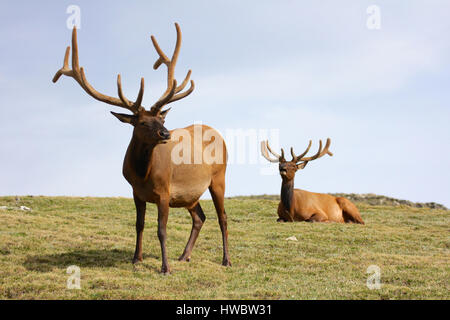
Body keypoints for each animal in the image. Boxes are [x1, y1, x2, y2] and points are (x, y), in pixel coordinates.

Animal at [53, 23, 232, 274]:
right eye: (142, 123)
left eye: (162, 119)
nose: (166, 134)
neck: (143, 174)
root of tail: (219, 135)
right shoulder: (136, 192)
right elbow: (139, 225)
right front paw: (136, 258)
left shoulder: (165, 192)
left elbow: (161, 230)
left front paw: (165, 267)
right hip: (189, 195)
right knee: (200, 217)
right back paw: (184, 256)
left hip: (219, 177)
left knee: (222, 217)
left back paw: (226, 260)